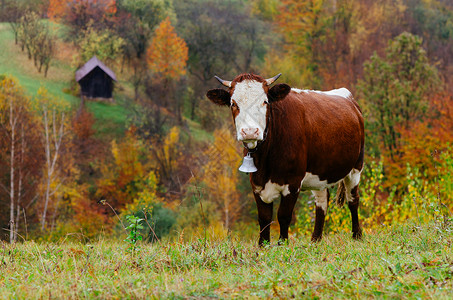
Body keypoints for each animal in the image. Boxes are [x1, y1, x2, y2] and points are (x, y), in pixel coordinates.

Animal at [205, 73, 364, 246]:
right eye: (233, 103)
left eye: (265, 101)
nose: (250, 131)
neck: (265, 161)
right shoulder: (257, 184)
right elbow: (264, 218)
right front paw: (263, 245)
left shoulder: (293, 183)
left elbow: (283, 216)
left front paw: (283, 244)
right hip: (320, 172)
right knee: (322, 202)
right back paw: (315, 240)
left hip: (356, 167)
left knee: (353, 200)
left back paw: (357, 236)